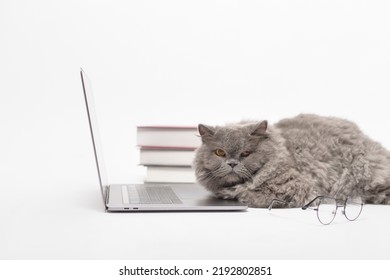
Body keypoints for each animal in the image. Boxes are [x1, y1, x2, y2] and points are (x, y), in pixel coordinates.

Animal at [193, 114, 390, 208]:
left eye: (246, 153)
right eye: (220, 152)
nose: (232, 164)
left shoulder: (296, 187)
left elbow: (250, 196)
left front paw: (237, 195)